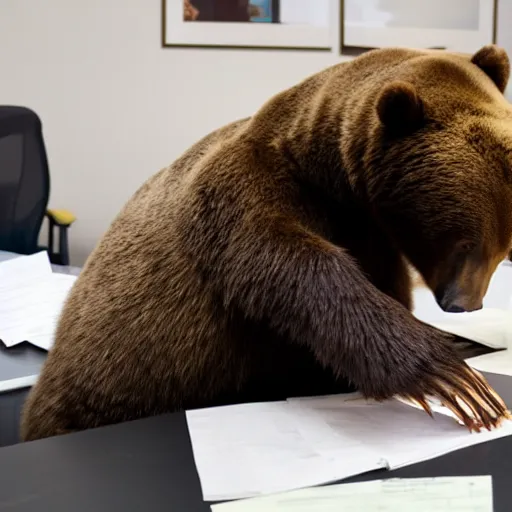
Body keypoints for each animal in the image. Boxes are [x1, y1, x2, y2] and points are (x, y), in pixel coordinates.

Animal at [20, 44, 512, 442]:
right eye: (463, 241)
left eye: (502, 247)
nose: (465, 304)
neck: (332, 180)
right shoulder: (244, 193)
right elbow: (294, 268)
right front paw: (456, 378)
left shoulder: (370, 236)